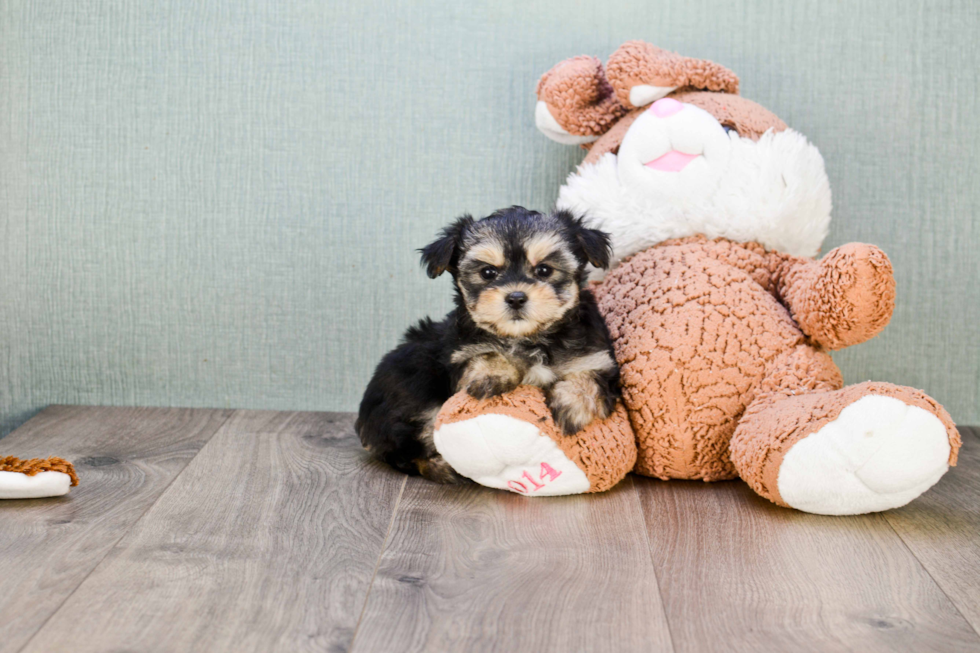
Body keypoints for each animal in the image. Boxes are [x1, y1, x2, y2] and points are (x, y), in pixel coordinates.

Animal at [358, 206, 620, 482]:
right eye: (488, 273)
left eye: (544, 270)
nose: (516, 298)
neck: (529, 337)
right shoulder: (460, 355)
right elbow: (486, 354)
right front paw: (493, 375)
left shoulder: (597, 356)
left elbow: (589, 377)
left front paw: (572, 406)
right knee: (405, 449)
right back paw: (442, 467)